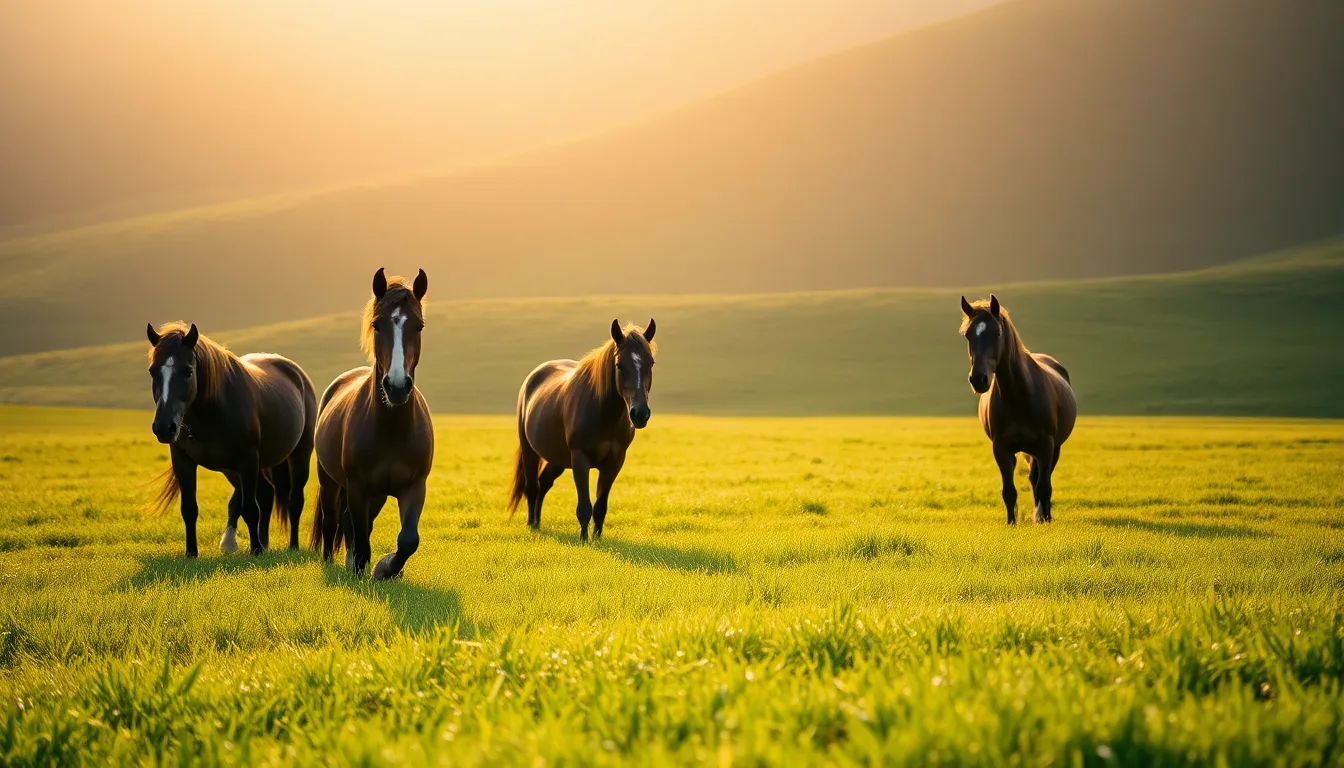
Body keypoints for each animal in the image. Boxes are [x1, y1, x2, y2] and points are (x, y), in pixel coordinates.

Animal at [146, 322, 317, 556]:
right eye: (153, 371)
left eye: (188, 372)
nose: (164, 427)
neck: (211, 414)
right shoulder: (184, 461)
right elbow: (189, 509)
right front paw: (191, 553)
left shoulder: (248, 460)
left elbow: (250, 509)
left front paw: (254, 551)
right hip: (234, 470)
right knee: (266, 494)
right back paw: (263, 542)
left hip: (298, 454)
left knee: (294, 501)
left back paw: (291, 546)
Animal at [310, 268, 434, 579]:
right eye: (377, 326)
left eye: (419, 327)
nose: (397, 386)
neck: (391, 431)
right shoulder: (358, 488)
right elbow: (361, 535)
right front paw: (365, 569)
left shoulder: (414, 487)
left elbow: (408, 540)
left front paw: (385, 568)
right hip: (329, 481)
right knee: (332, 521)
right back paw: (331, 562)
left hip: (377, 495)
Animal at [508, 319, 656, 541]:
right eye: (619, 365)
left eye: (650, 363)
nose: (639, 413)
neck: (604, 414)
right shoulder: (580, 459)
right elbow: (584, 506)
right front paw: (585, 540)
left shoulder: (614, 463)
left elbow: (600, 506)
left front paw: (597, 538)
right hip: (529, 451)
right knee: (532, 487)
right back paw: (532, 525)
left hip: (557, 459)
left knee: (543, 484)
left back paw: (538, 523)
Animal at [959, 295, 1076, 524]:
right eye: (968, 335)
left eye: (997, 333)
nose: (978, 379)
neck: (1019, 397)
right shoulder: (1001, 450)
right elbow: (1009, 491)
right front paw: (1012, 523)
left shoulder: (1046, 446)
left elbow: (1044, 487)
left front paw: (1044, 519)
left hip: (1054, 448)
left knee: (1041, 480)